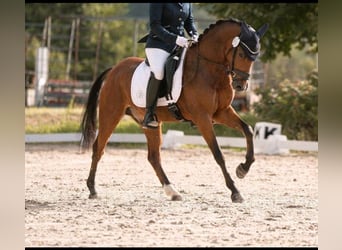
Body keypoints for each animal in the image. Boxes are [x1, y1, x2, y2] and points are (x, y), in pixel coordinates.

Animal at [80, 19, 268, 203]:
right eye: (242, 54)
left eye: (255, 56)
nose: (241, 86)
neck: (210, 71)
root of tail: (114, 69)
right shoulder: (203, 118)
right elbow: (218, 153)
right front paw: (235, 191)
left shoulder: (221, 112)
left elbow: (248, 130)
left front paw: (243, 168)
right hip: (110, 114)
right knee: (98, 148)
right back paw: (92, 189)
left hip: (149, 123)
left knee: (153, 157)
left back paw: (172, 191)